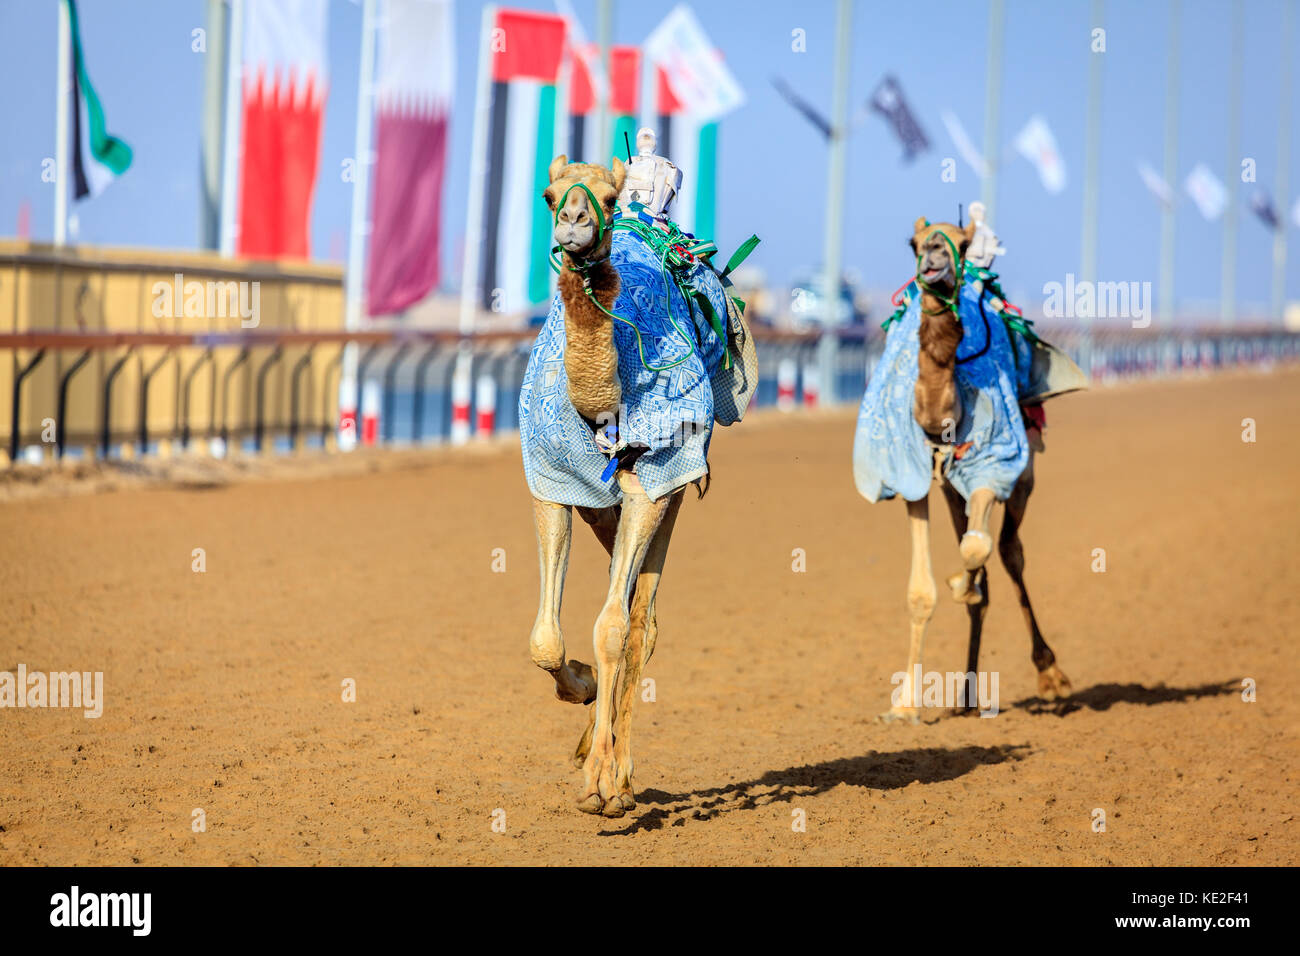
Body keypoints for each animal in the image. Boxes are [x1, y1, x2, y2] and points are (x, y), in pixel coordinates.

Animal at [868, 218, 1071, 723]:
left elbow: (977, 548)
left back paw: (1049, 673)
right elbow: (921, 592)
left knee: (1009, 551)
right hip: (951, 491)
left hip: (1023, 474)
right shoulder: (916, 484)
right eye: (914, 243)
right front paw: (904, 706)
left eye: (962, 243)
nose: (934, 256)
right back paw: (966, 694)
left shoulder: (990, 471)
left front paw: (962, 582)